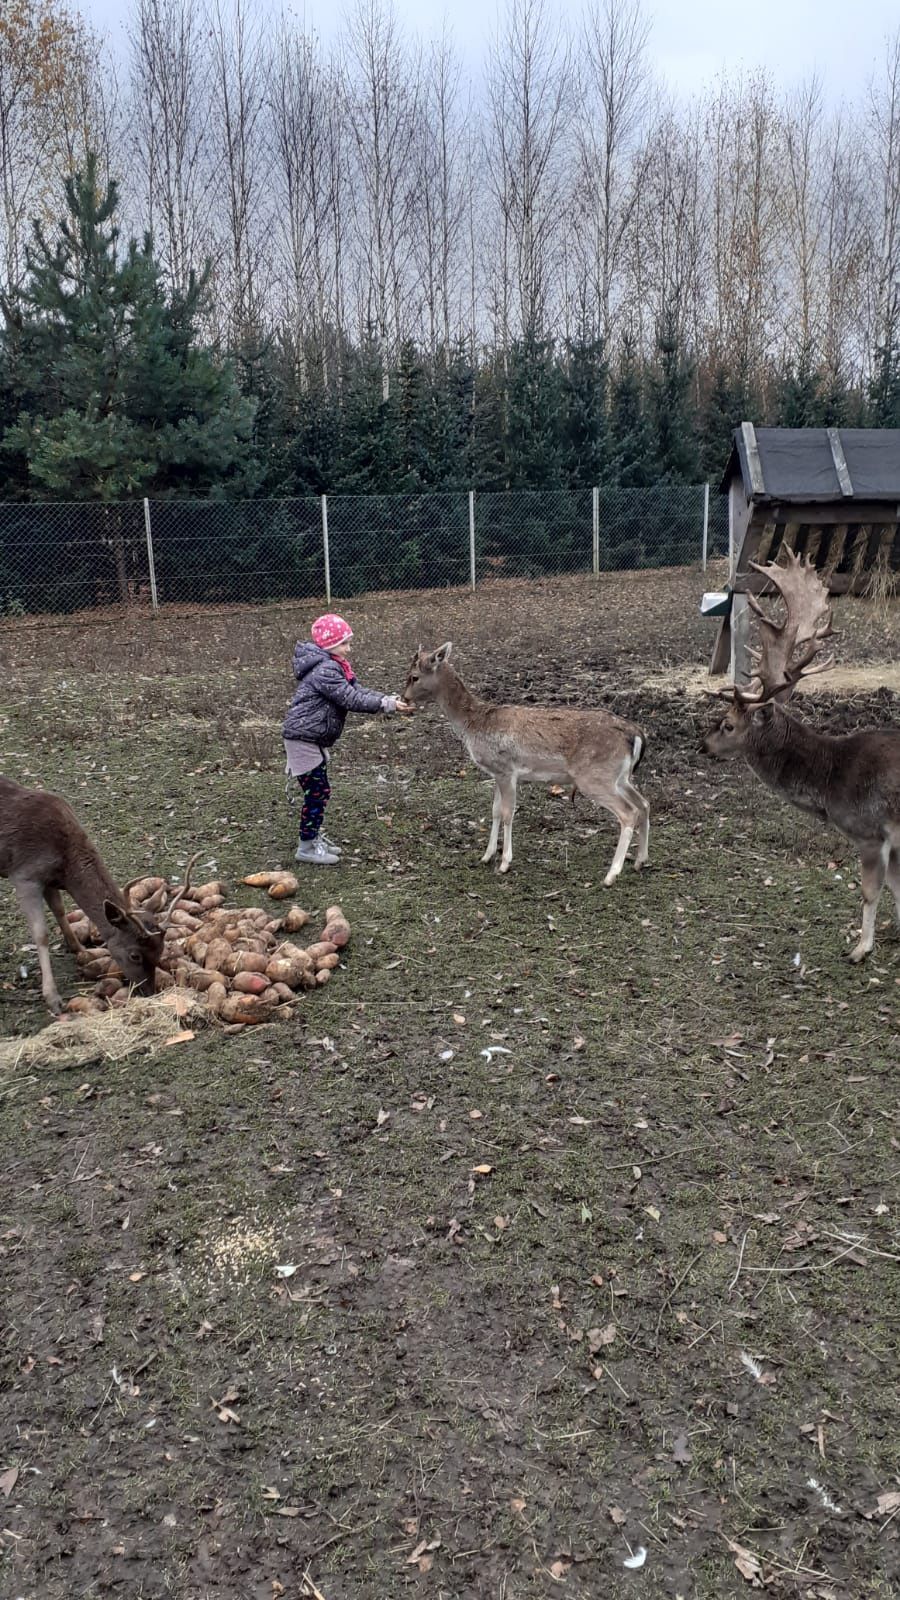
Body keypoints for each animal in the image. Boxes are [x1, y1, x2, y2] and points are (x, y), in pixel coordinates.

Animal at [1, 774, 168, 1011]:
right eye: (134, 955)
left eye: (161, 950)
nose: (149, 991)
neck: (65, 865)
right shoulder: (24, 875)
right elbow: (41, 934)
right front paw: (53, 998)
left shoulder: (50, 880)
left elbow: (60, 910)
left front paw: (79, 949)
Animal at [400, 643, 643, 883]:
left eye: (414, 677)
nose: (404, 698)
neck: (474, 724)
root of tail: (636, 734)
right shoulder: (496, 773)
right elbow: (495, 811)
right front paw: (486, 856)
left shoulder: (506, 769)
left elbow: (508, 813)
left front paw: (504, 863)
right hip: (620, 777)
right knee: (643, 804)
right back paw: (640, 860)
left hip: (594, 777)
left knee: (628, 812)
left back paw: (611, 874)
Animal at [701, 550, 896, 960]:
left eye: (727, 724)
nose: (702, 744)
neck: (833, 778)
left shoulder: (872, 830)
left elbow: (872, 891)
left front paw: (861, 949)